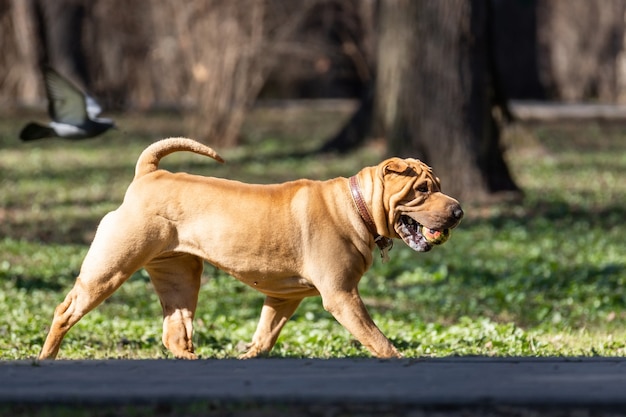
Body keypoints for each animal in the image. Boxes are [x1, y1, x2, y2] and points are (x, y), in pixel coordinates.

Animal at [37, 136, 458, 358]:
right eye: (422, 190)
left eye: (438, 185)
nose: (458, 210)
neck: (357, 206)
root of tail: (148, 174)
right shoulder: (342, 297)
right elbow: (378, 339)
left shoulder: (284, 297)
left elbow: (264, 336)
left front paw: (248, 355)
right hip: (109, 269)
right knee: (65, 311)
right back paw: (47, 357)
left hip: (180, 277)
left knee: (174, 333)